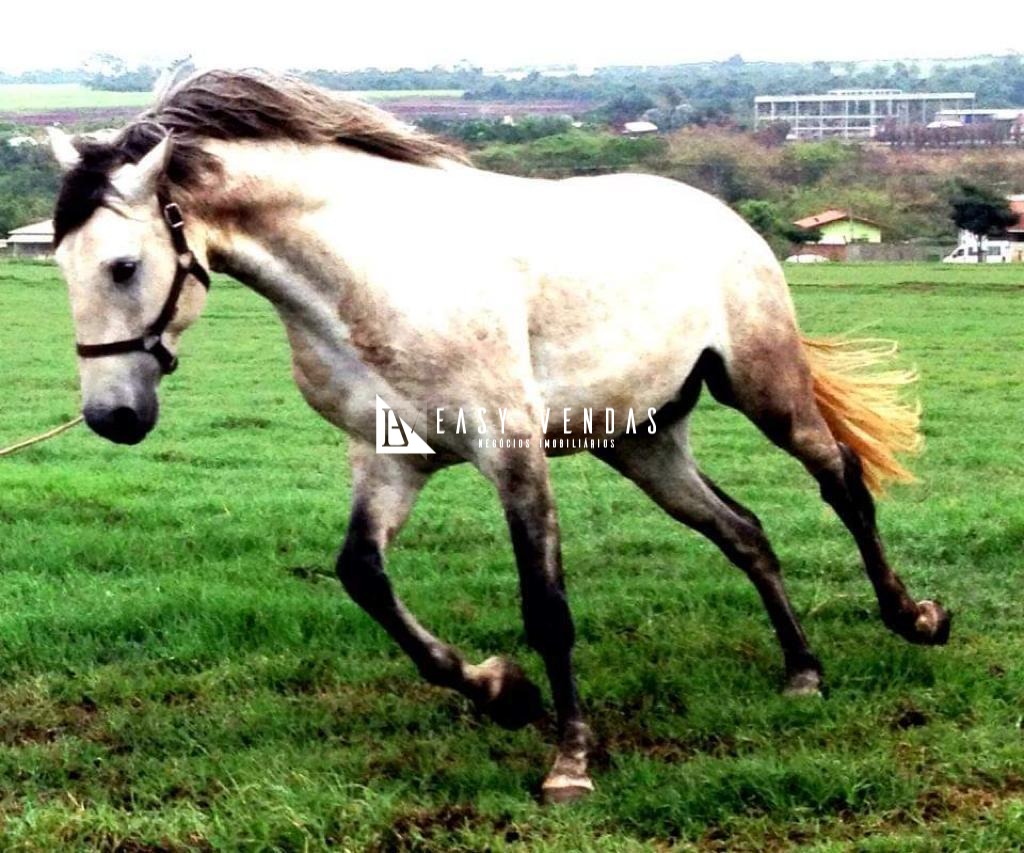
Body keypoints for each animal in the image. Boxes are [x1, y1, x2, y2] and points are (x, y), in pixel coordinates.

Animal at [46, 70, 949, 804]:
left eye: (123, 266)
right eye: (60, 265)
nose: (113, 416)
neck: (373, 275)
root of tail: (721, 214)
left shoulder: (510, 453)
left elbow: (547, 607)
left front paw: (570, 760)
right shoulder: (389, 458)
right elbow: (363, 575)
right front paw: (502, 692)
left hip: (766, 389)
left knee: (841, 481)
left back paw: (914, 618)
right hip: (644, 442)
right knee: (745, 531)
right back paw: (802, 670)